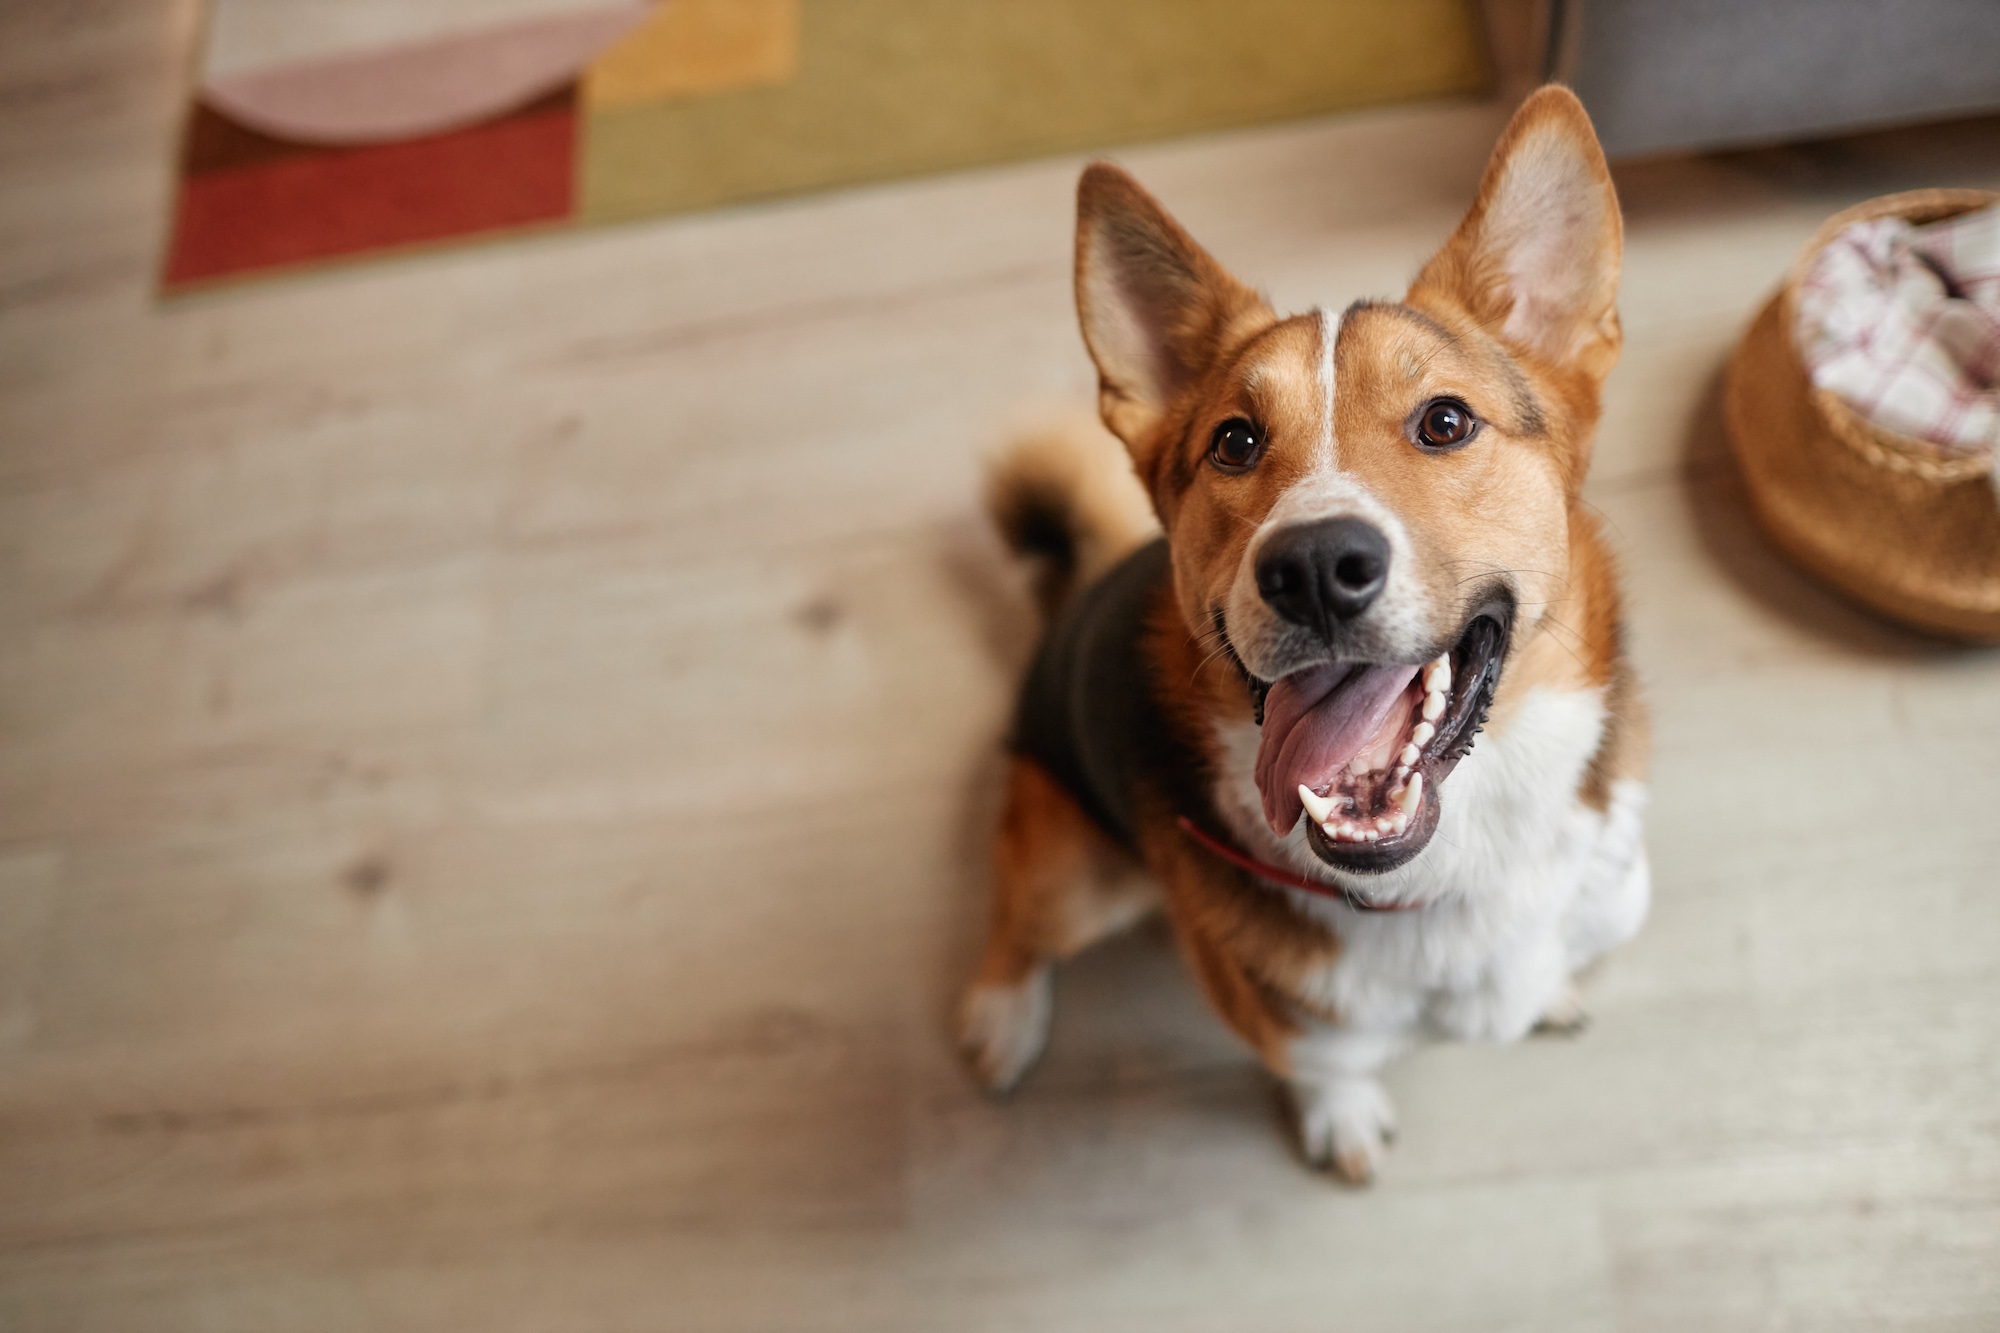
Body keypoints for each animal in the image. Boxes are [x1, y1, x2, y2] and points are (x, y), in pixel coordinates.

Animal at [960, 88, 1648, 1176]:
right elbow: (1324, 1065)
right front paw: (1341, 1115)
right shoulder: (1287, 1021)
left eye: (1444, 422)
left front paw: (1549, 995)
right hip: (1076, 870)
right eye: (1234, 443)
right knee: (1014, 918)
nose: (1315, 567)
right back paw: (1001, 1013)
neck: (1446, 876)